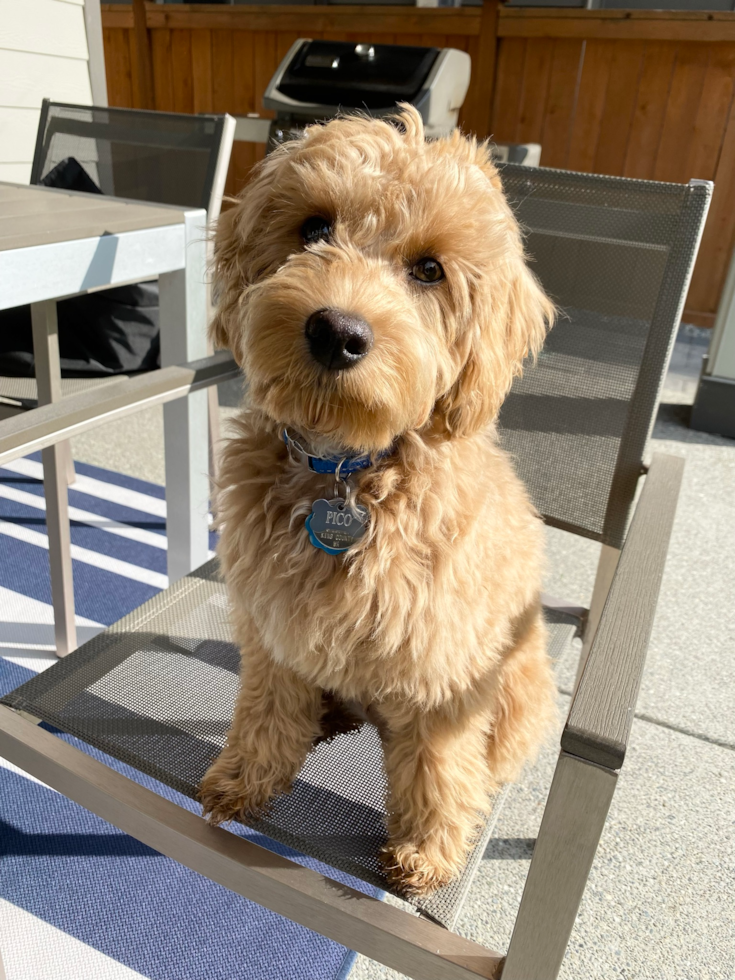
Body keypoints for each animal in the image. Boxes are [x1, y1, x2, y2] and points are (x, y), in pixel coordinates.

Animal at [198, 105, 556, 896]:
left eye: (429, 269)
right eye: (312, 228)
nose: (337, 331)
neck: (347, 468)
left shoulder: (445, 662)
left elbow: (439, 764)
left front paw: (427, 851)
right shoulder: (272, 625)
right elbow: (266, 708)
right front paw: (244, 780)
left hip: (518, 683)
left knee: (485, 754)